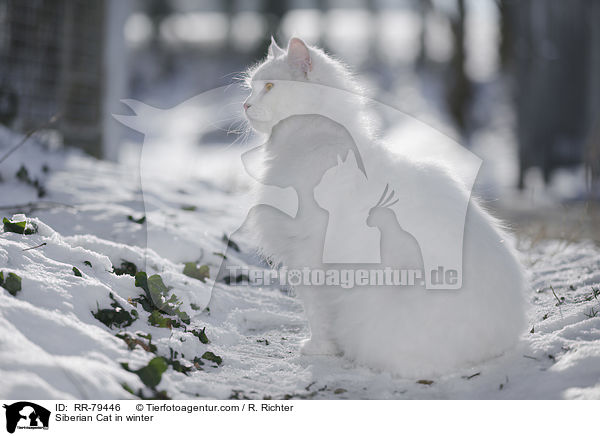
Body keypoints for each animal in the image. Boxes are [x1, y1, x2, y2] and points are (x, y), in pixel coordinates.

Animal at [241, 38, 528, 378]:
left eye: (269, 87)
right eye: (251, 87)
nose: (245, 104)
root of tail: (501, 345)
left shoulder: (307, 257)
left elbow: (317, 315)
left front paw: (317, 349)